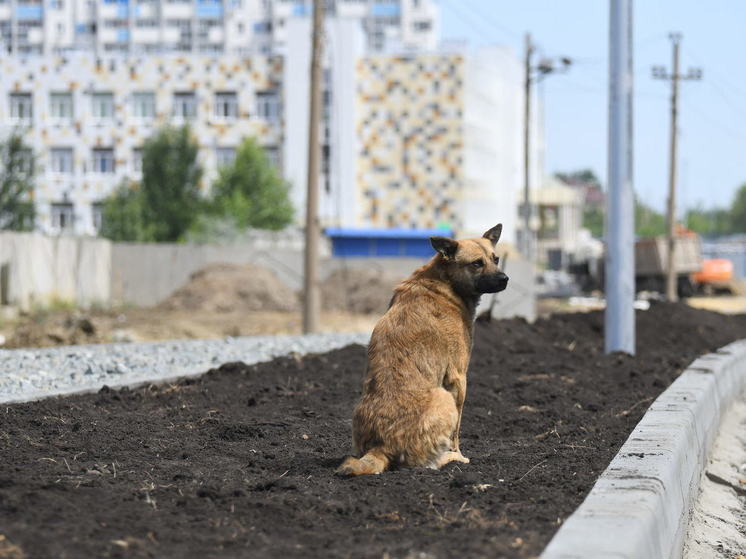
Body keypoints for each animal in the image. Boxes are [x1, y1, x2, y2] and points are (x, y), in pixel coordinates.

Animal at [336, 224, 506, 476]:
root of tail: (381, 446)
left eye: (496, 259)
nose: (505, 279)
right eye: (477, 263)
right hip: (444, 398)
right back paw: (451, 458)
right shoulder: (458, 378)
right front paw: (460, 454)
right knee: (429, 462)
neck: (444, 282)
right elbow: (456, 433)